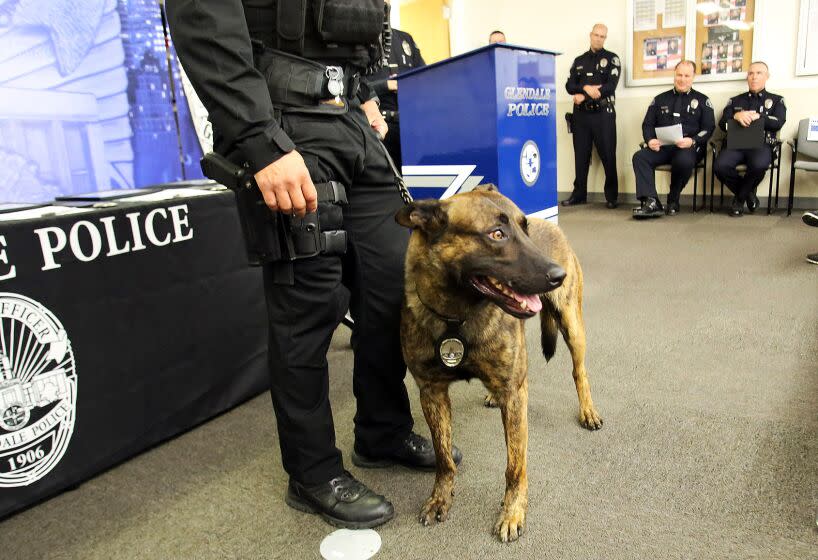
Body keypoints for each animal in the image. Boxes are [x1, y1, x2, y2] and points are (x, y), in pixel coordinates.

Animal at [394, 185, 600, 544]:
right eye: (497, 234)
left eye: (524, 229)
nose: (558, 275)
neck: (458, 317)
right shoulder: (432, 393)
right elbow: (443, 457)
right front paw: (440, 498)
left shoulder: (515, 394)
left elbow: (515, 465)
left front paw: (513, 512)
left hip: (572, 324)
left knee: (579, 371)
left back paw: (587, 410)